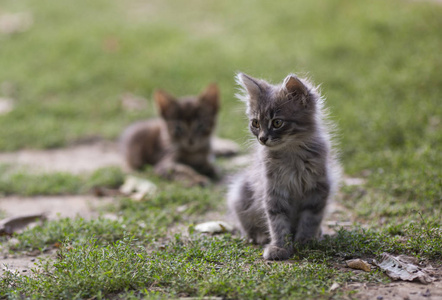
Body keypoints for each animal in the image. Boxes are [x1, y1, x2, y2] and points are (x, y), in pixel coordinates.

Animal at [226, 72, 340, 260]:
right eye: (255, 123)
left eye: (277, 123)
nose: (262, 138)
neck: (291, 153)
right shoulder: (274, 190)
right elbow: (277, 222)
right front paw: (279, 247)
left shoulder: (318, 188)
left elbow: (310, 219)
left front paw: (305, 241)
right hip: (240, 194)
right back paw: (259, 236)